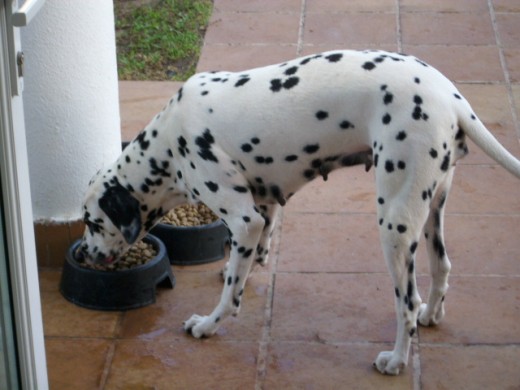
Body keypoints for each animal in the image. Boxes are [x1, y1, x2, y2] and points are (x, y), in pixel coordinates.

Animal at [78, 49, 520, 374]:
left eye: (91, 222)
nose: (84, 253)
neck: (168, 142)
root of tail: (453, 99)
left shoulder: (244, 218)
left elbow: (230, 295)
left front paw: (207, 324)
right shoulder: (264, 206)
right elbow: (249, 257)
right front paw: (241, 269)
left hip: (394, 224)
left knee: (406, 304)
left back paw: (395, 360)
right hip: (430, 215)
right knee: (442, 267)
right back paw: (432, 314)